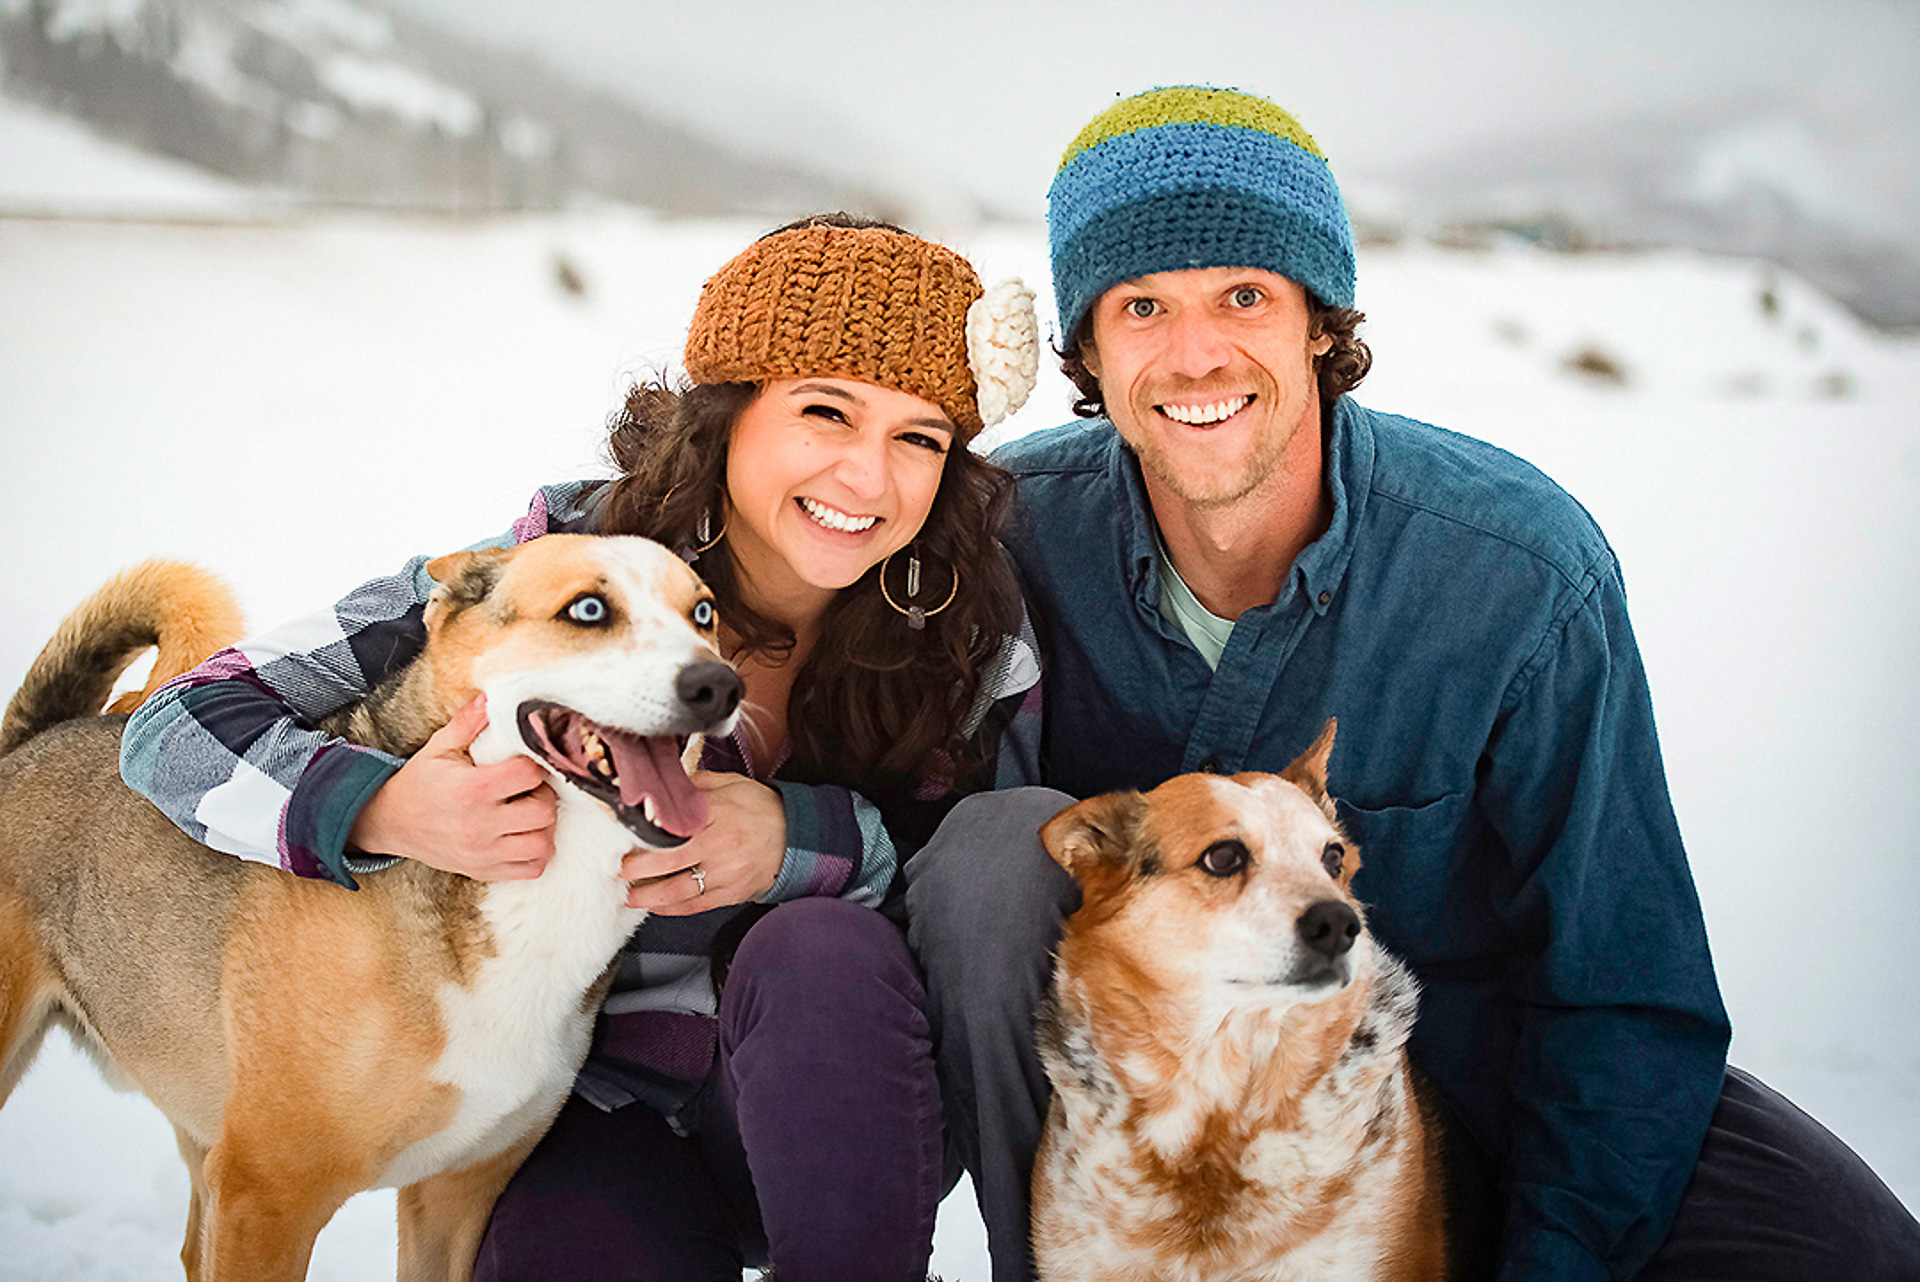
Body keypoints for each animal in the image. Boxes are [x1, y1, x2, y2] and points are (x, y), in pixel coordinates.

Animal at [0, 537, 741, 1282]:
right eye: (588, 609)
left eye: (703, 613)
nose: (719, 686)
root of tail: (30, 744)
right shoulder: (264, 1192)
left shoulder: (454, 1197)